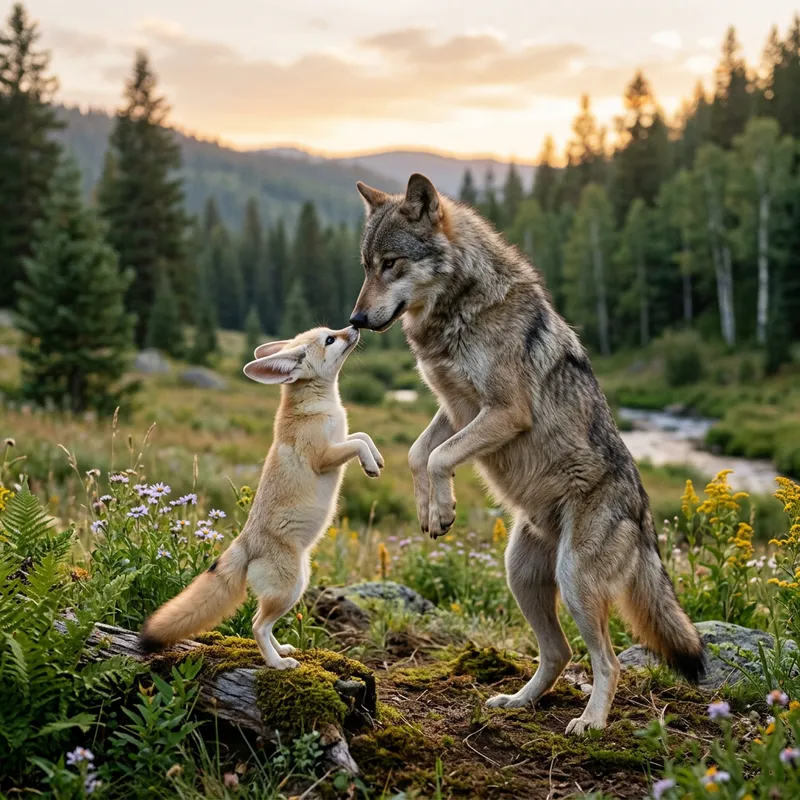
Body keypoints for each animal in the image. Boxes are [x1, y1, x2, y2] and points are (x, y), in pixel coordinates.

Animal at [138, 326, 384, 669]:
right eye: (330, 340)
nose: (354, 326)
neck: (318, 407)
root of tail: (244, 542)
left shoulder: (341, 440)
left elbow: (363, 436)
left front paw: (376, 460)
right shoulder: (324, 457)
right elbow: (358, 443)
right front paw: (369, 464)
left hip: (295, 587)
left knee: (260, 623)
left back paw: (282, 651)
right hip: (289, 590)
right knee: (257, 626)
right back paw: (277, 664)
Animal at [348, 173, 705, 733]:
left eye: (391, 263)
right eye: (366, 265)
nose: (356, 319)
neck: (460, 309)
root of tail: (645, 516)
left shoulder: (502, 412)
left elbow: (439, 457)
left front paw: (443, 510)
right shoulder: (455, 408)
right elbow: (417, 453)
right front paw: (430, 512)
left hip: (574, 580)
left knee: (607, 662)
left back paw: (591, 723)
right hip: (521, 575)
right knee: (559, 653)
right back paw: (518, 702)